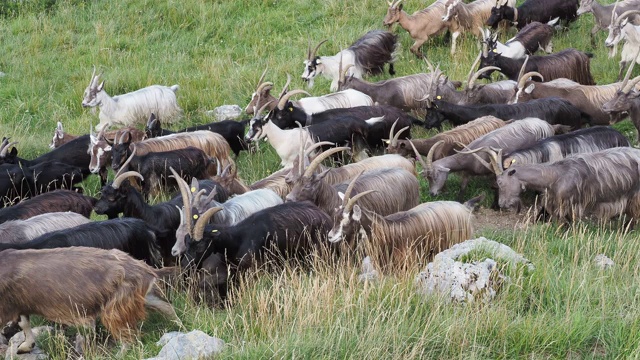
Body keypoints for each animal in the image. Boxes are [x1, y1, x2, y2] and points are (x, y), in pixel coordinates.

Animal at [0, 248, 180, 354]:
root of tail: (144, 270)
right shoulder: (20, 304)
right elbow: (24, 323)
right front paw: (26, 346)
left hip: (115, 306)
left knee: (127, 335)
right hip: (143, 296)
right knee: (167, 307)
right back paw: (180, 325)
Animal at [412, 118, 556, 202]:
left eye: (435, 175)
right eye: (427, 177)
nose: (432, 194)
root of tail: (546, 124)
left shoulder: (493, 171)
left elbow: (496, 185)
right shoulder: (467, 173)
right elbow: (462, 187)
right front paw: (459, 201)